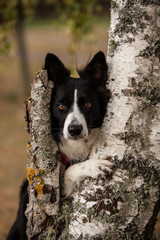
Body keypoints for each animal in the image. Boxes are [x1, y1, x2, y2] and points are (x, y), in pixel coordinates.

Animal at [6, 51, 112, 240]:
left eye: (87, 104)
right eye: (61, 105)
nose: (74, 130)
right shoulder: (55, 197)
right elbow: (70, 172)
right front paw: (94, 166)